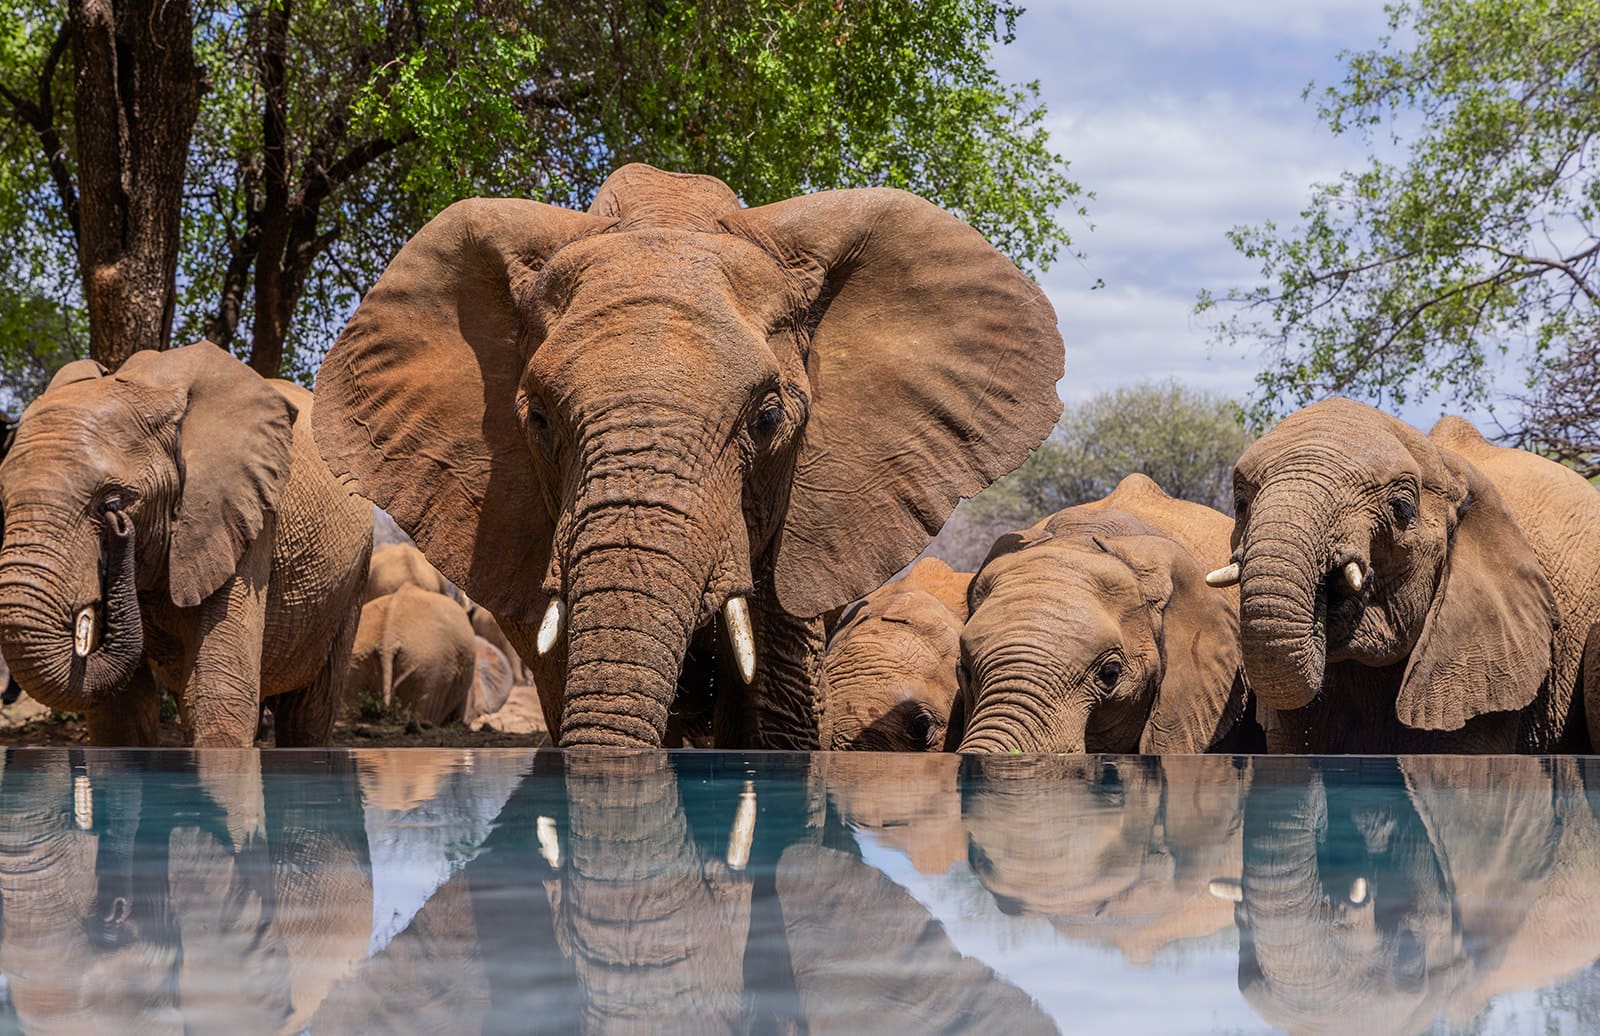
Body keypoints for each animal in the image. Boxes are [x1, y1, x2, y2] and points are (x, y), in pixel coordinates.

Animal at [0, 341, 374, 746]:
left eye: (112, 502)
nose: (120, 528)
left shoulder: (243, 517)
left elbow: (218, 694)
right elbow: (121, 715)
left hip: (351, 586)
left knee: (308, 715)